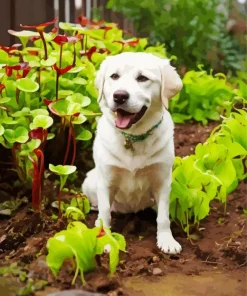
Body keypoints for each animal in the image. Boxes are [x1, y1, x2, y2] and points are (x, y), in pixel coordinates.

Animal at [82, 52, 182, 253]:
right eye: (114, 76)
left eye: (142, 78)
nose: (119, 96)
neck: (133, 137)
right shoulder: (106, 180)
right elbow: (105, 214)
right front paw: (106, 240)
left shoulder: (162, 180)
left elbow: (163, 216)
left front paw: (166, 240)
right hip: (90, 181)